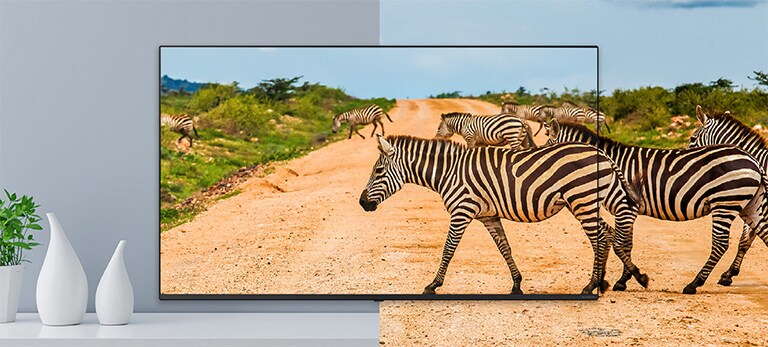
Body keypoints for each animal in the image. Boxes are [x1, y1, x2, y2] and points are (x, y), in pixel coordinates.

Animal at [356, 135, 644, 294]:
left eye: (379, 171)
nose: (362, 203)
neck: (449, 172)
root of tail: (602, 153)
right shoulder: (488, 216)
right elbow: (504, 248)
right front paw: (517, 284)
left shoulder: (461, 211)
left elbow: (448, 249)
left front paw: (433, 285)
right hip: (587, 201)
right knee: (608, 233)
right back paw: (612, 280)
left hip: (581, 200)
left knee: (601, 237)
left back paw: (595, 284)